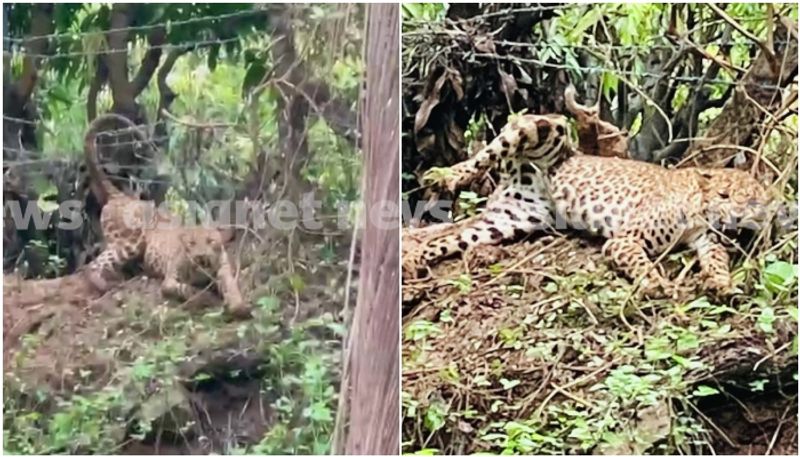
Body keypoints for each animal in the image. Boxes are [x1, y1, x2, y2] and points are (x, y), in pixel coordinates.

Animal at [82, 112, 250, 318]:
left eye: (210, 241)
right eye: (191, 243)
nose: (201, 257)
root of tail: (122, 197)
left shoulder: (224, 270)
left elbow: (231, 286)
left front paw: (238, 305)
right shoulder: (169, 280)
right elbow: (184, 288)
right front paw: (204, 298)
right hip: (131, 242)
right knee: (93, 264)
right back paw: (104, 284)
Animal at [406, 111, 776, 296]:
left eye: (752, 203)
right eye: (724, 196)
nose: (736, 218)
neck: (699, 212)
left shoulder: (707, 242)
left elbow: (717, 260)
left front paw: (722, 284)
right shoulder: (624, 240)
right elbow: (642, 263)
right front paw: (655, 284)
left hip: (510, 220)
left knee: (447, 239)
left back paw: (412, 261)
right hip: (545, 126)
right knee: (488, 151)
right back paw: (444, 176)